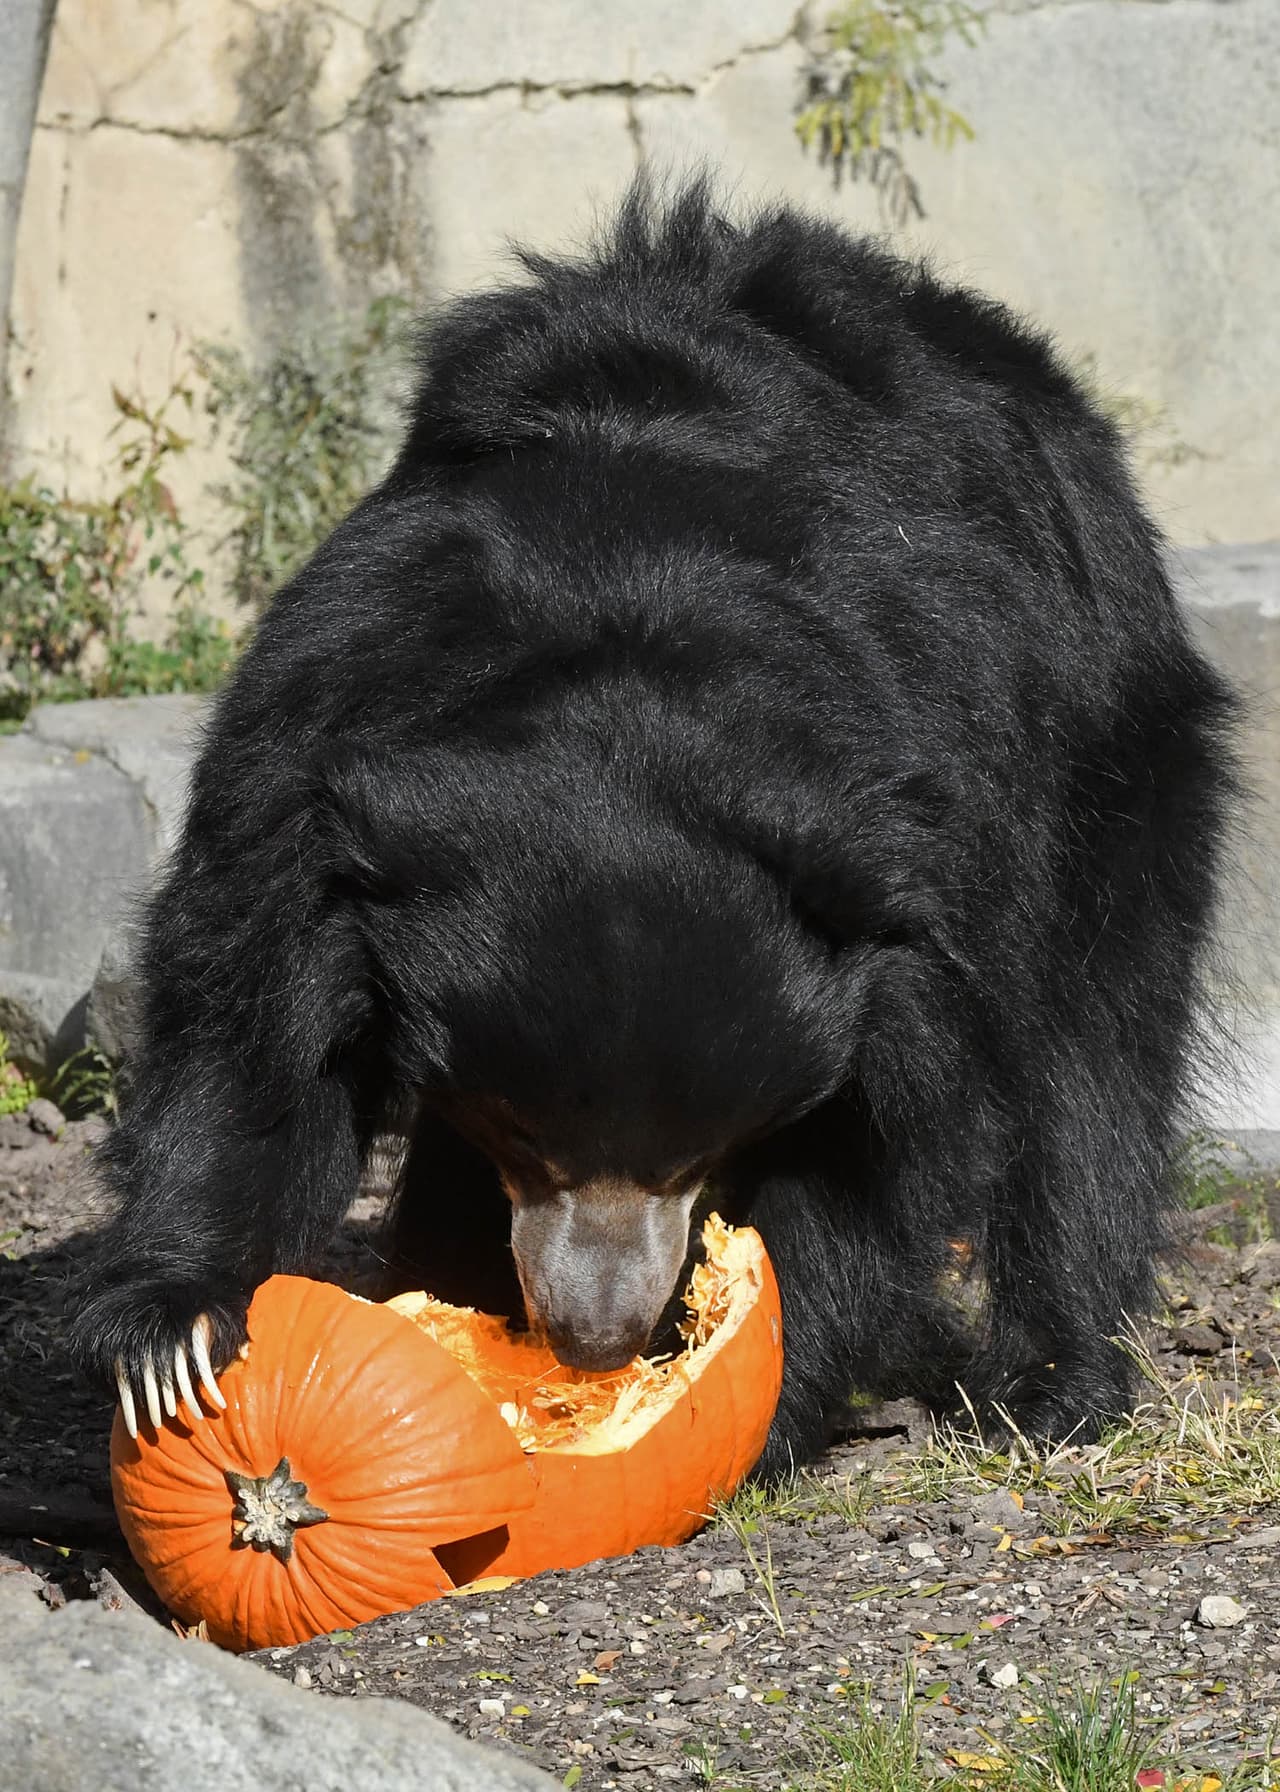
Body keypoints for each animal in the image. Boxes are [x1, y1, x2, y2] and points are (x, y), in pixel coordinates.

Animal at [71, 183, 1236, 1478]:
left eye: (695, 1152)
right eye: (522, 1135)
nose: (593, 1334)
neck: (623, 686)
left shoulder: (914, 875)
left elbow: (875, 1143)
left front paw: (744, 1397)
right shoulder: (307, 746)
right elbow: (250, 1038)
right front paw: (172, 1337)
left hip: (1106, 746)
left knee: (1092, 1051)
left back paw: (1051, 1384)